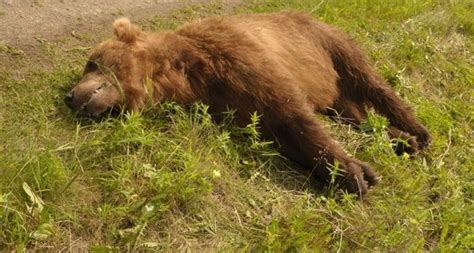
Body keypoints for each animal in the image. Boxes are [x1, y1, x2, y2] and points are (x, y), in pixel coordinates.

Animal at [65, 11, 432, 196]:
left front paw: (354, 174)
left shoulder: (241, 58)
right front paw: (351, 172)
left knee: (368, 78)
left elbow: (291, 113)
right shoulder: (225, 101)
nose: (69, 97)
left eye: (90, 62)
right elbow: (279, 130)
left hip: (325, 42)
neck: (182, 72)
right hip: (332, 92)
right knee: (354, 115)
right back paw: (403, 141)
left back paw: (417, 131)